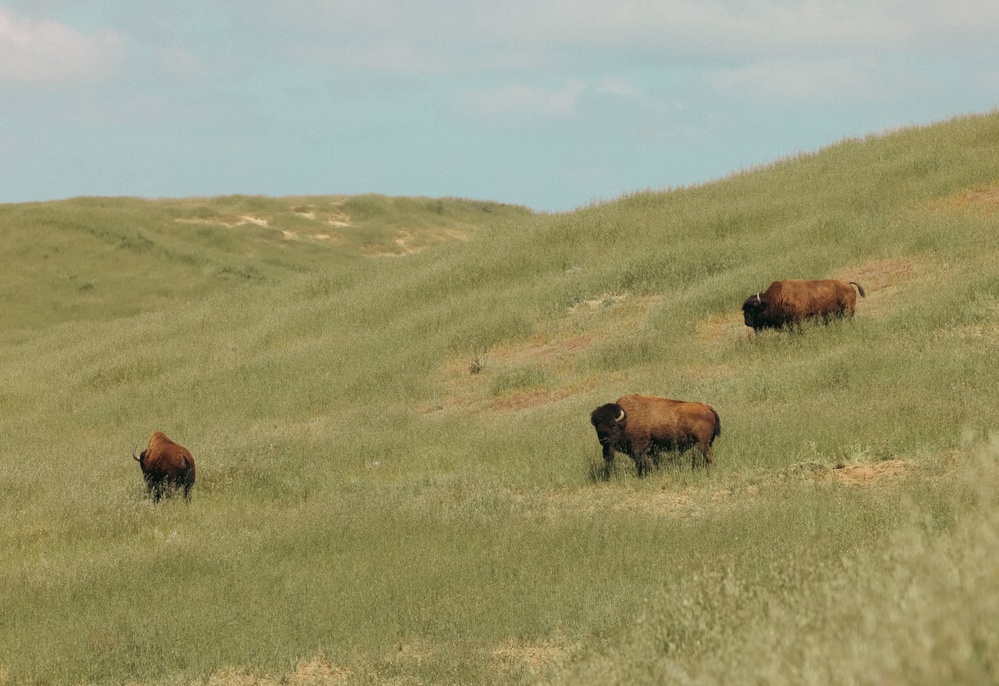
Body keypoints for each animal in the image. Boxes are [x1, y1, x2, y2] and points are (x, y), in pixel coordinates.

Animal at [588, 396, 724, 482]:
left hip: (703, 443)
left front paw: (643, 476)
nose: (603, 441)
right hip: (707, 443)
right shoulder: (652, 450)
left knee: (708, 457)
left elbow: (641, 462)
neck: (627, 419)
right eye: (597, 427)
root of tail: (708, 408)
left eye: (613, 425)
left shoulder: (639, 449)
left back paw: (708, 474)